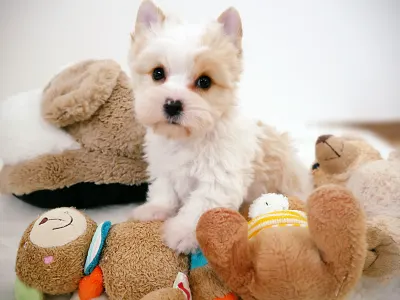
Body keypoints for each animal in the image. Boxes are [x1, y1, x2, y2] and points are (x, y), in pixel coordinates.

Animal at [128, 0, 310, 253]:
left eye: (204, 81)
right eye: (158, 73)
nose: (172, 105)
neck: (189, 138)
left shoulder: (218, 179)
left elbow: (199, 207)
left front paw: (183, 232)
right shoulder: (164, 167)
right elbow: (164, 190)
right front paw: (157, 209)